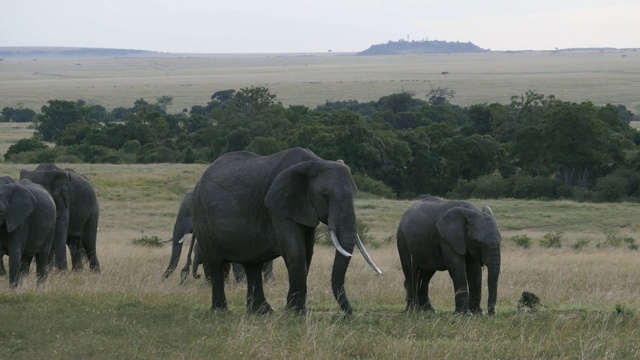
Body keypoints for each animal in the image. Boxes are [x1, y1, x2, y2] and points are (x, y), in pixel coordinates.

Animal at [190, 148, 380, 314]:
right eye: (325, 196)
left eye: (355, 195)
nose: (348, 315)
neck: (316, 162)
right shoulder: (278, 209)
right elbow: (296, 251)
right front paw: (297, 313)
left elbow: (307, 253)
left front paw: (293, 310)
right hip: (202, 218)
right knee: (215, 262)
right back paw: (221, 311)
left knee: (252, 264)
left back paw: (262, 312)